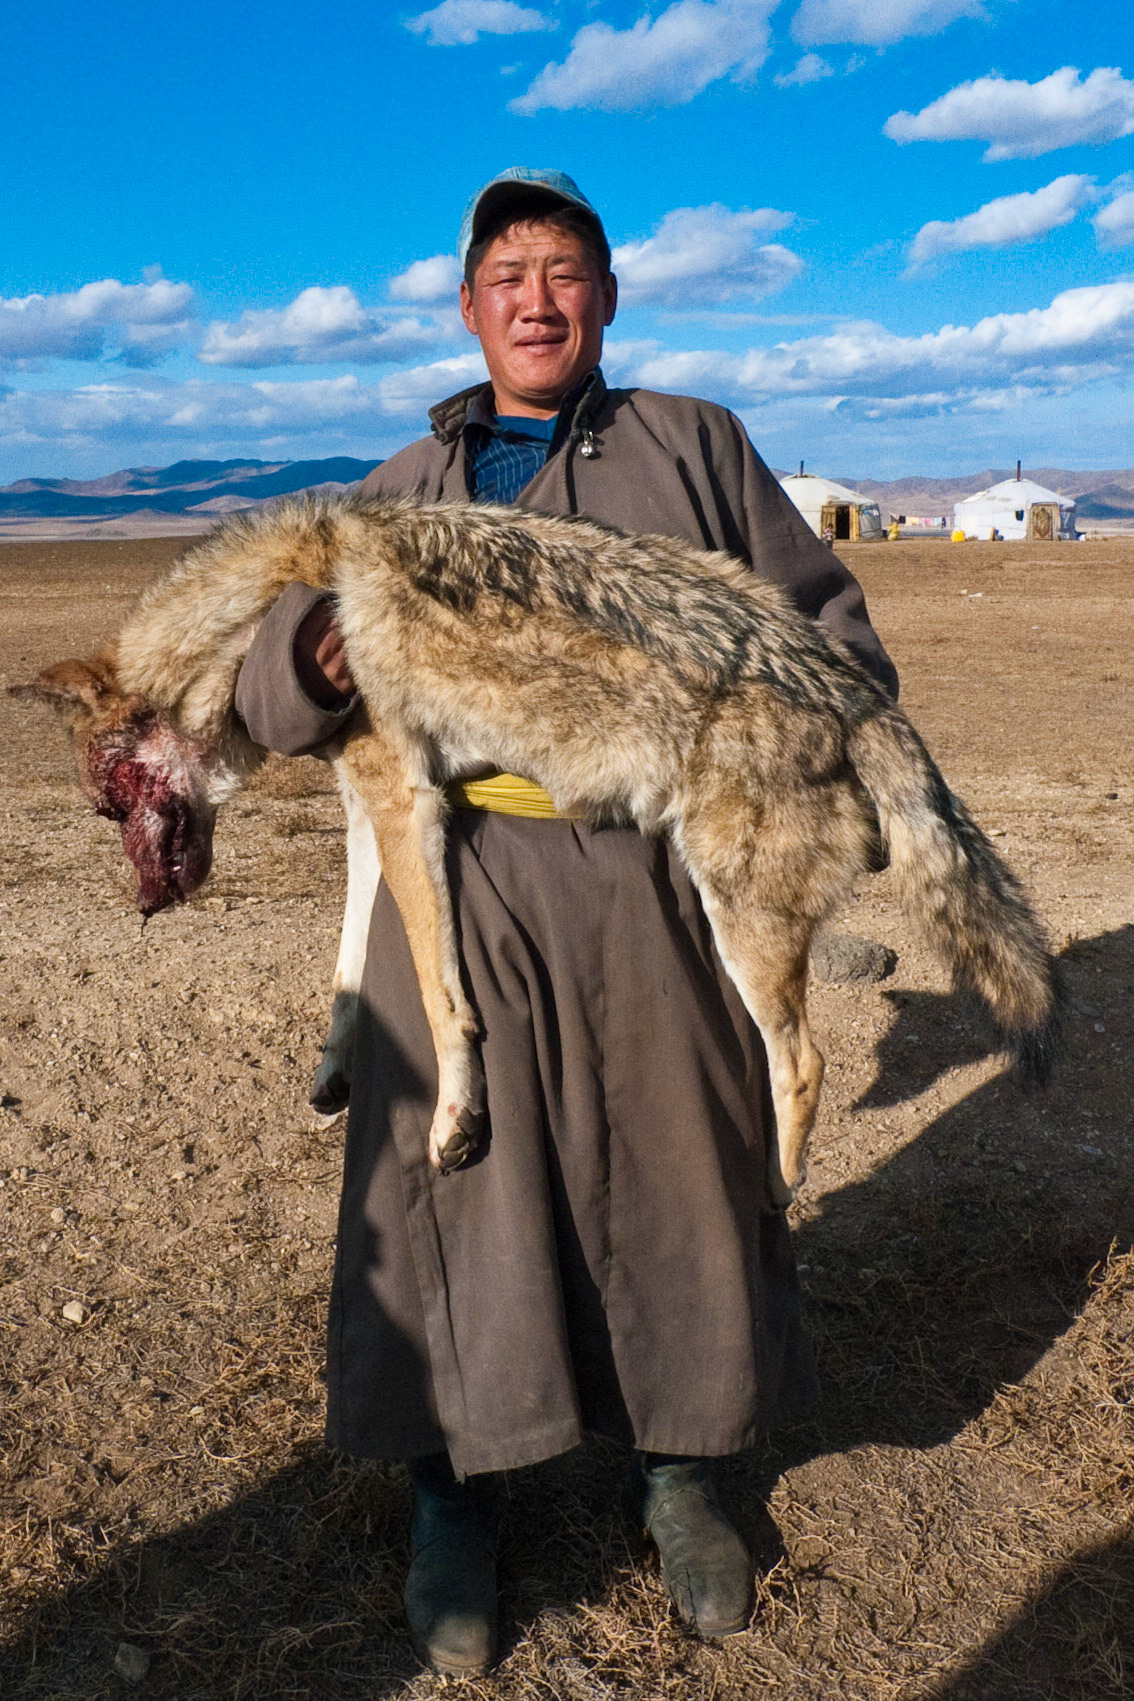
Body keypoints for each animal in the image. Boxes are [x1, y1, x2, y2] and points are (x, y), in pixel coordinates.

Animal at [15, 496, 1062, 1204]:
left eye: (107, 809)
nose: (144, 905)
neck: (277, 597)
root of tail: (860, 694)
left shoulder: (405, 798)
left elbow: (439, 996)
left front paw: (456, 1118)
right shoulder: (368, 806)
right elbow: (351, 962)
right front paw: (332, 1071)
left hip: (741, 923)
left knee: (803, 1064)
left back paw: (780, 1184)